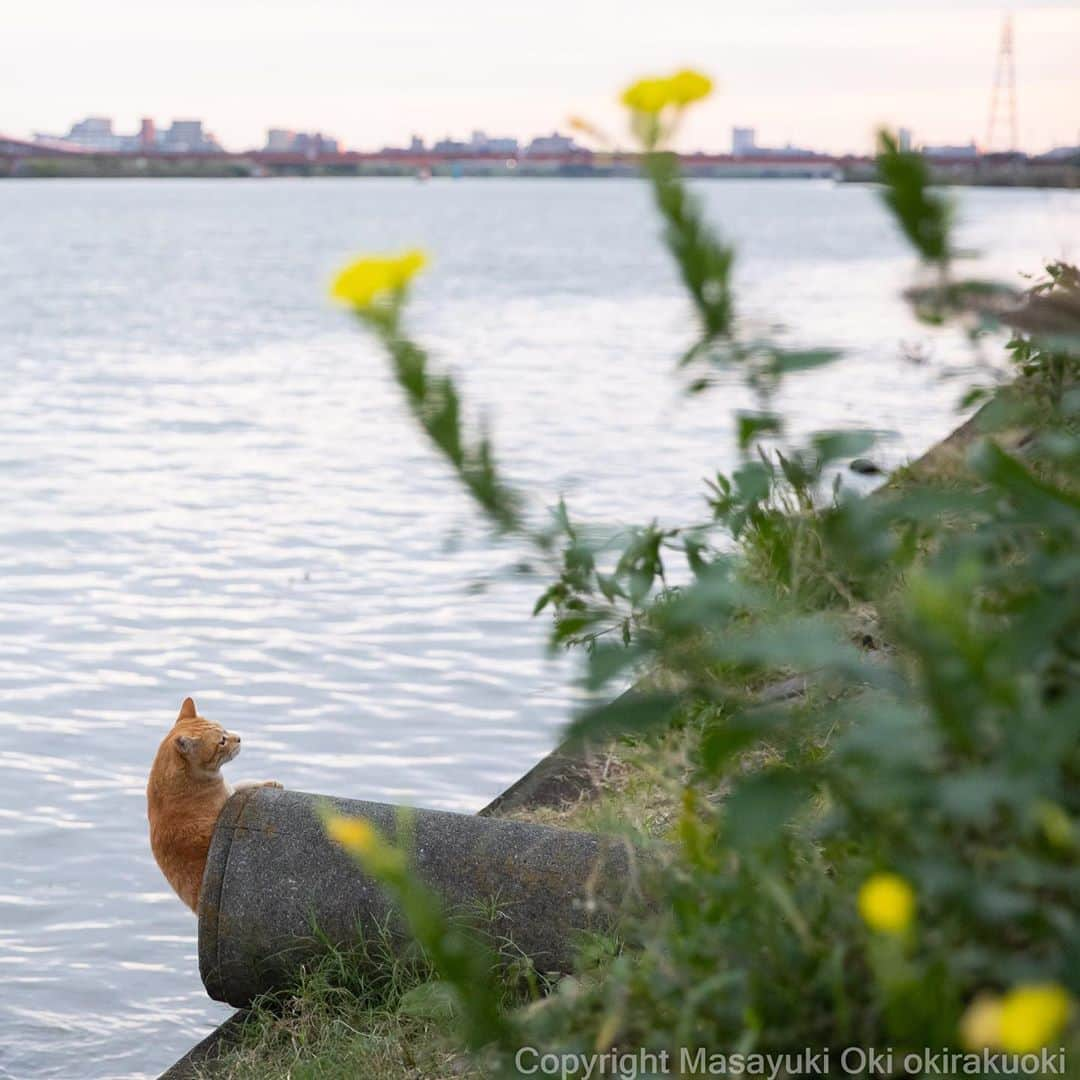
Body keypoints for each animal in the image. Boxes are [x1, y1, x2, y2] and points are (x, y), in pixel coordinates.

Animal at [147, 699, 282, 911]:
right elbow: (243, 786)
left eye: (225, 730)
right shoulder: (227, 798)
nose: (239, 738)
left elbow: (243, 784)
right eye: (222, 741)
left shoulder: (231, 790)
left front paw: (270, 783)